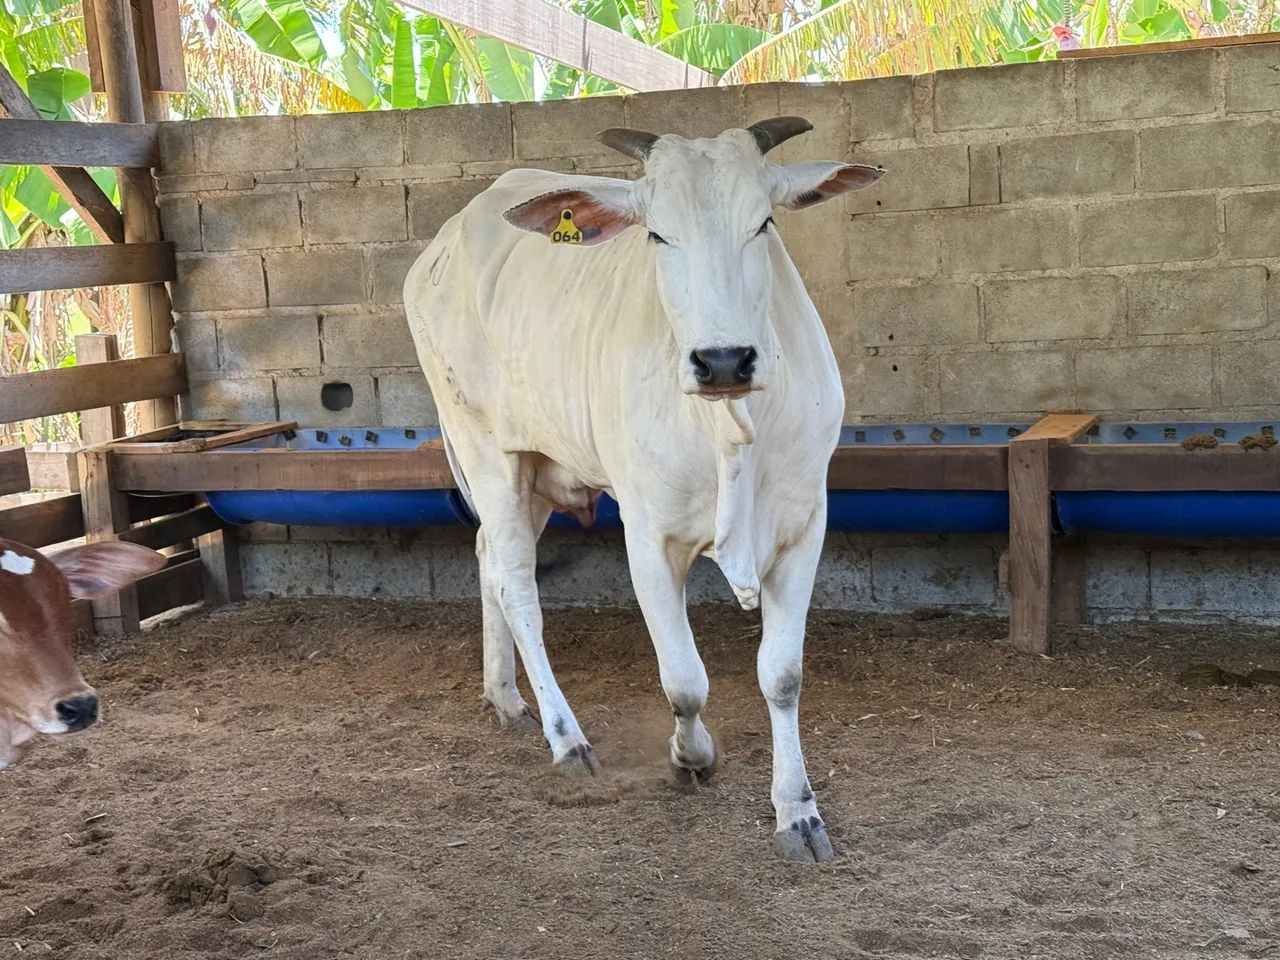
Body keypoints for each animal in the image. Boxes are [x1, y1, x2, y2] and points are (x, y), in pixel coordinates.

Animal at [403, 116, 884, 861]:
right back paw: (565, 738)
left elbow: (782, 675)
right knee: (516, 585)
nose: (723, 361)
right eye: (656, 234)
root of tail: (448, 236)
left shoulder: (804, 525)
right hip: (487, 450)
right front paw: (692, 757)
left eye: (764, 222)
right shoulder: (649, 537)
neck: (729, 429)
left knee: (488, 559)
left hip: (534, 467)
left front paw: (798, 812)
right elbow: (684, 681)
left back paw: (504, 695)